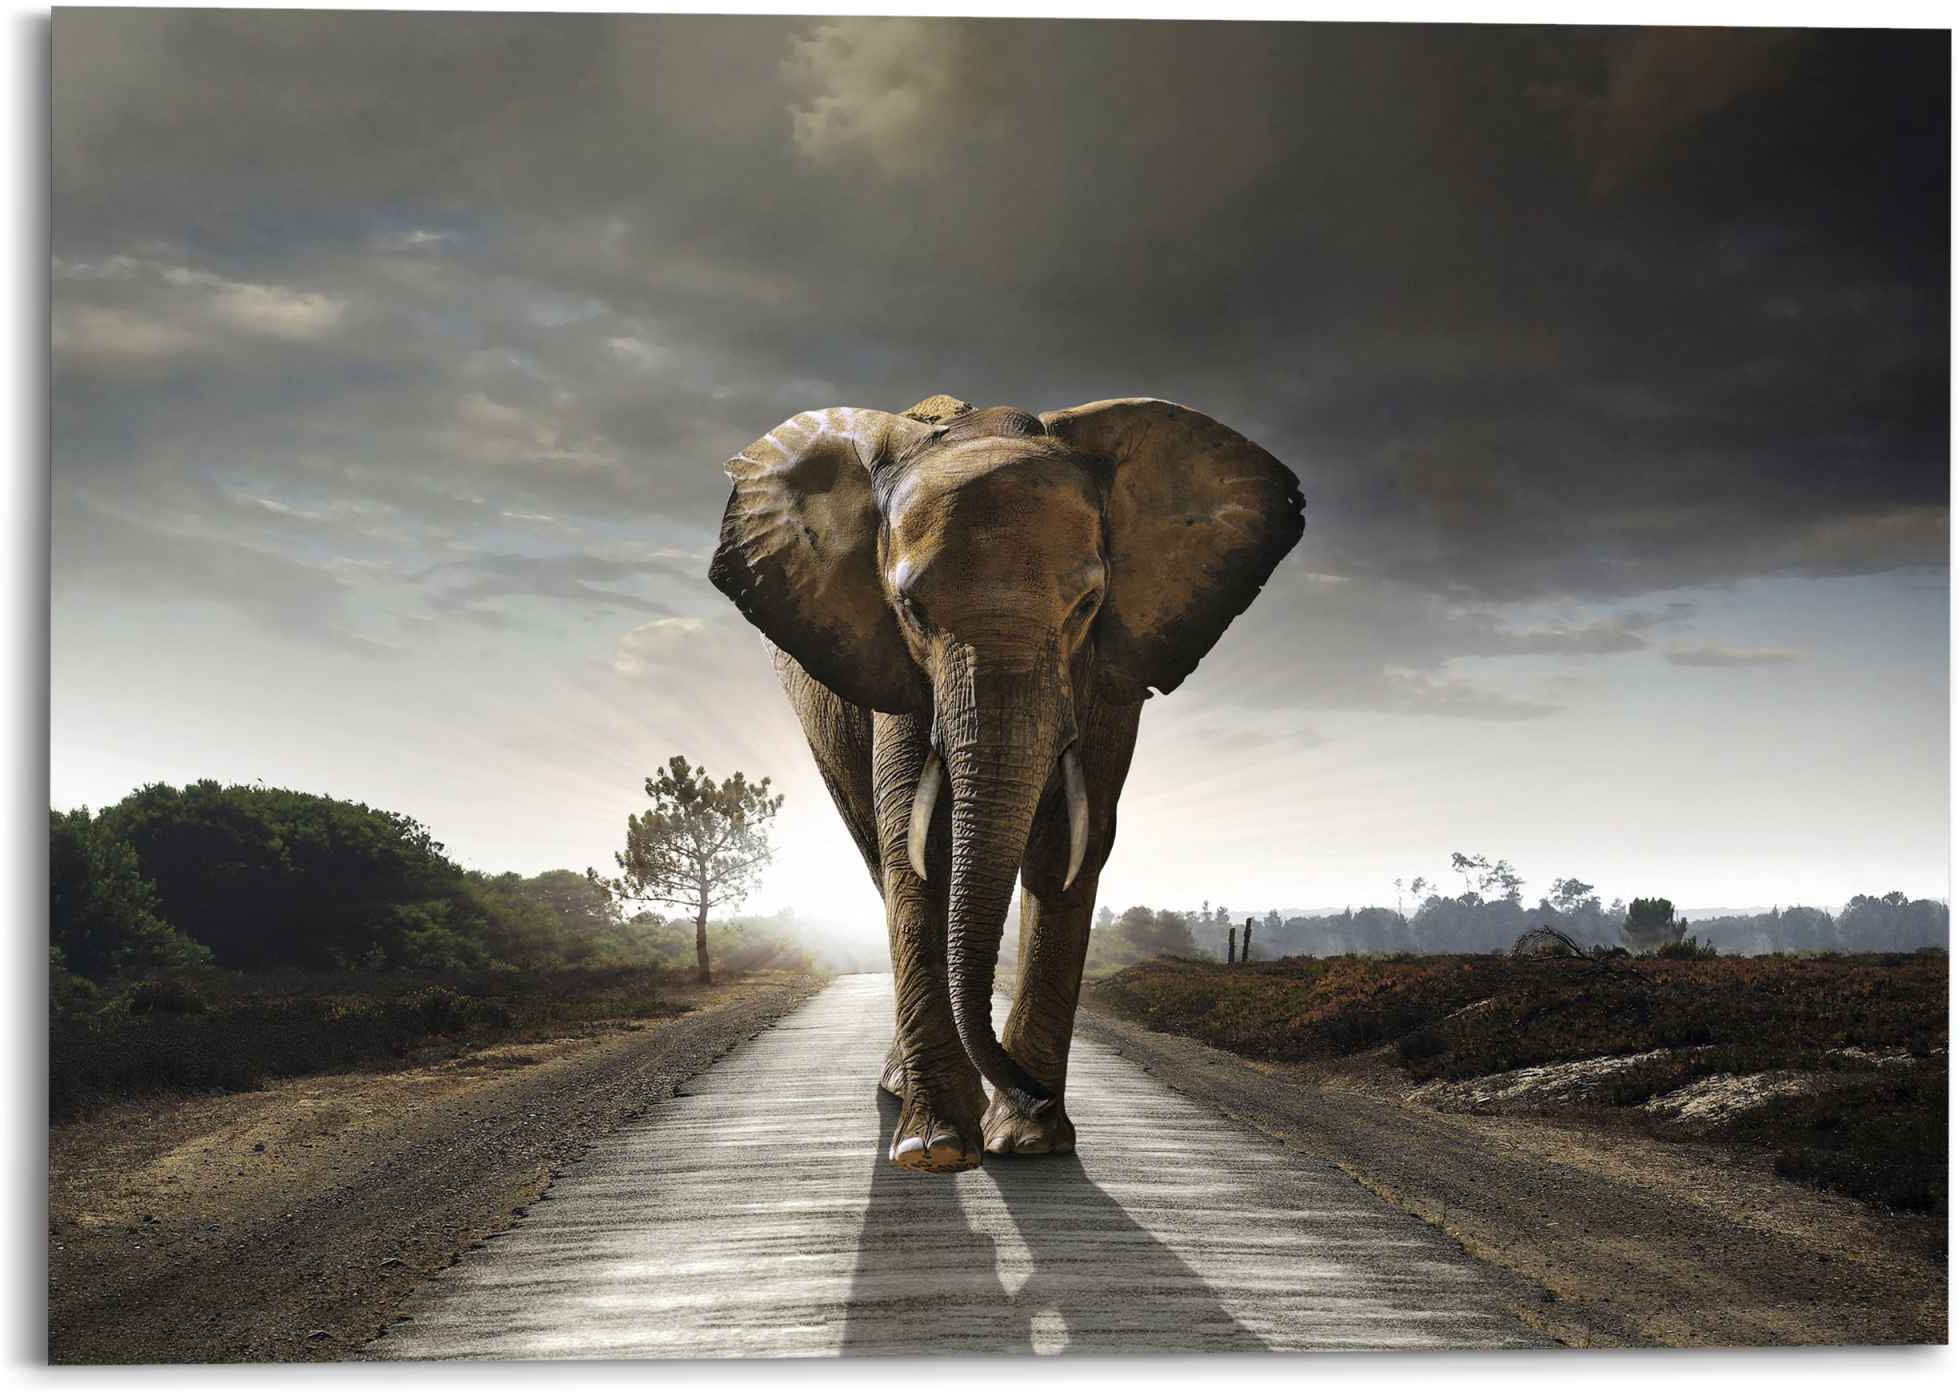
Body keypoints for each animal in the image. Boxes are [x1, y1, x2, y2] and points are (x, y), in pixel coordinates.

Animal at [708, 393, 1303, 1172]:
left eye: (1087, 606)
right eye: (911, 610)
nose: (1032, 1092)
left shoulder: (1110, 670)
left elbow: (1070, 846)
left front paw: (1029, 1140)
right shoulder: (896, 673)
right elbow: (916, 847)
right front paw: (936, 1149)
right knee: (877, 853)